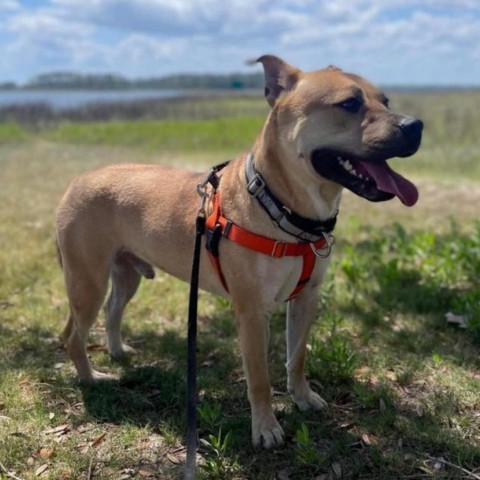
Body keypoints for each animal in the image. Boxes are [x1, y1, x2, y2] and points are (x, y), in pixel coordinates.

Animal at [56, 56, 422, 450]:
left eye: (385, 100)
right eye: (350, 104)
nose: (416, 126)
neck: (281, 207)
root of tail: (76, 181)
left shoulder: (306, 299)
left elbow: (297, 356)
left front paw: (302, 397)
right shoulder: (252, 313)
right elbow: (259, 378)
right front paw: (265, 427)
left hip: (125, 275)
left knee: (112, 310)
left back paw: (118, 352)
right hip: (87, 281)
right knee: (74, 335)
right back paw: (91, 378)